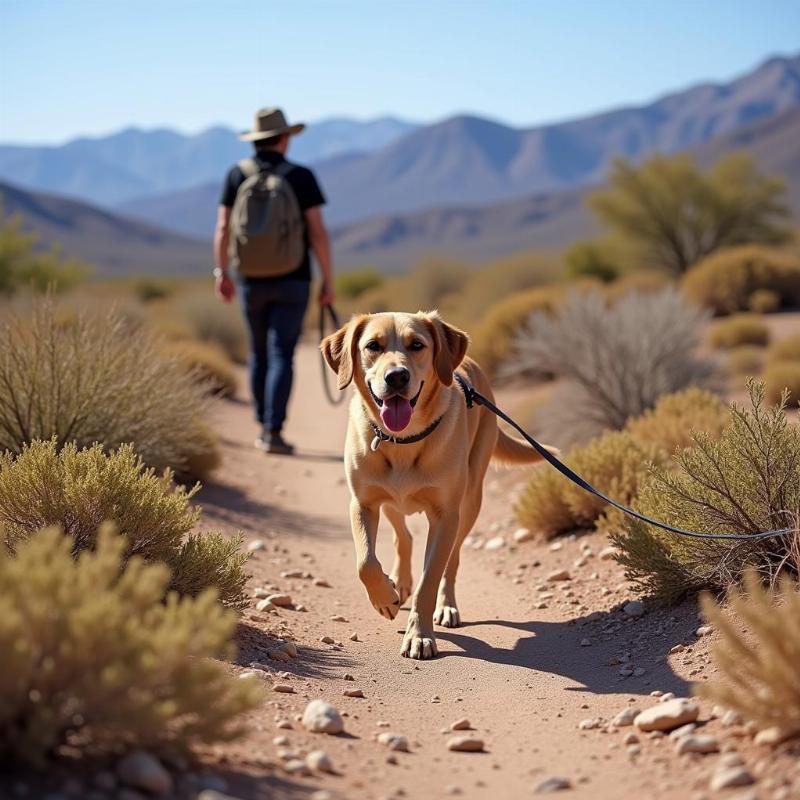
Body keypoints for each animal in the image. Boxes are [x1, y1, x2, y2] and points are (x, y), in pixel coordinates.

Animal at [318, 310, 556, 660]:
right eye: (373, 346)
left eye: (417, 345)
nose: (397, 377)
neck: (403, 441)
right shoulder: (363, 503)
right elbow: (365, 563)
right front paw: (385, 597)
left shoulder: (445, 516)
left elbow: (429, 579)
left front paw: (419, 635)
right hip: (391, 502)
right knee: (403, 537)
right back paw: (399, 584)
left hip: (469, 504)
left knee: (451, 561)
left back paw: (446, 606)